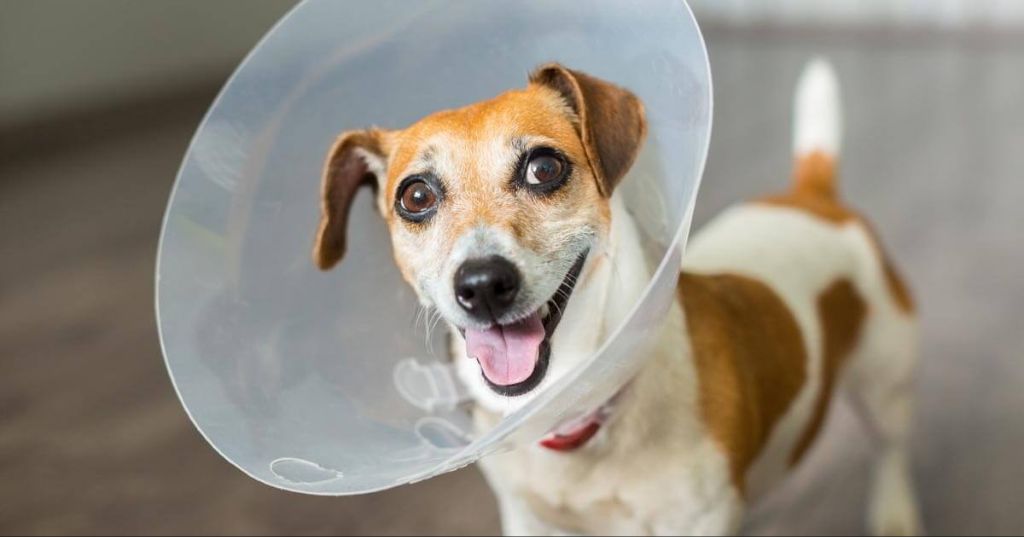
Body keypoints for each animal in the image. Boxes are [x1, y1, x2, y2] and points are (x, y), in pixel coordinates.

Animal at [309, 58, 921, 537]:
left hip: (884, 381)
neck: (574, 416)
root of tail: (811, 196)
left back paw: (895, 513)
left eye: (544, 167)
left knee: (891, 448)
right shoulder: (528, 518)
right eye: (415, 197)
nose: (482, 285)